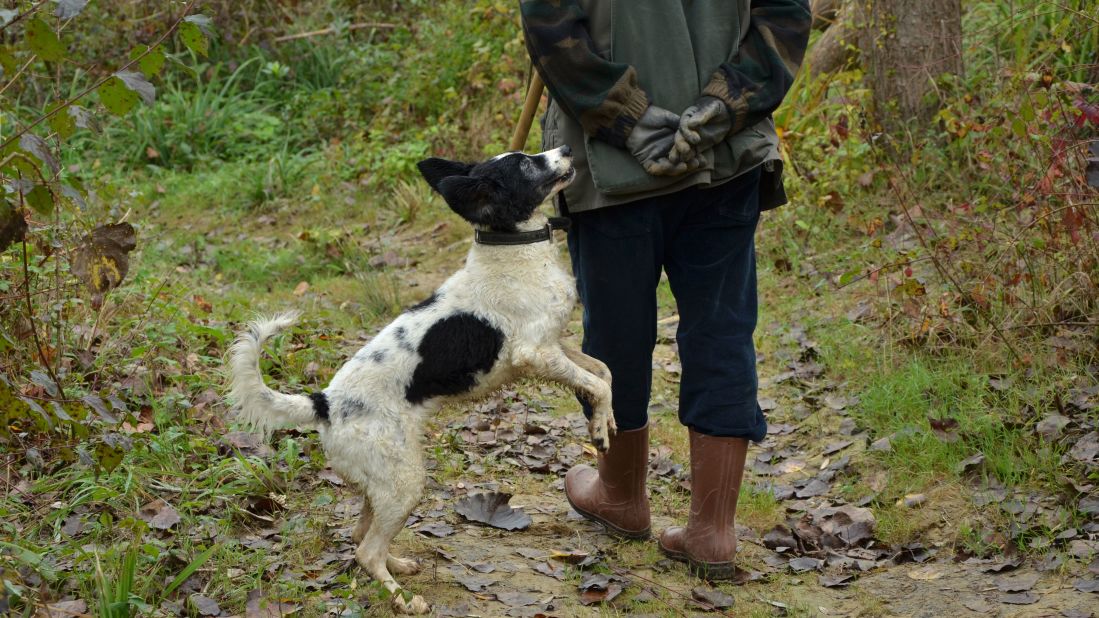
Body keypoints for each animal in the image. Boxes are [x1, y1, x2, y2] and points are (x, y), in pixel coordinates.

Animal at [227, 144, 615, 611]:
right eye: (524, 163)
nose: (567, 148)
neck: (512, 249)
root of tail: (324, 403)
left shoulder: (554, 347)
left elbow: (603, 371)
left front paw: (607, 420)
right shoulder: (535, 353)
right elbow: (597, 382)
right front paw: (600, 432)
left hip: (384, 481)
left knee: (361, 534)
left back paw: (398, 567)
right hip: (404, 481)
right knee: (365, 550)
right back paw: (402, 599)